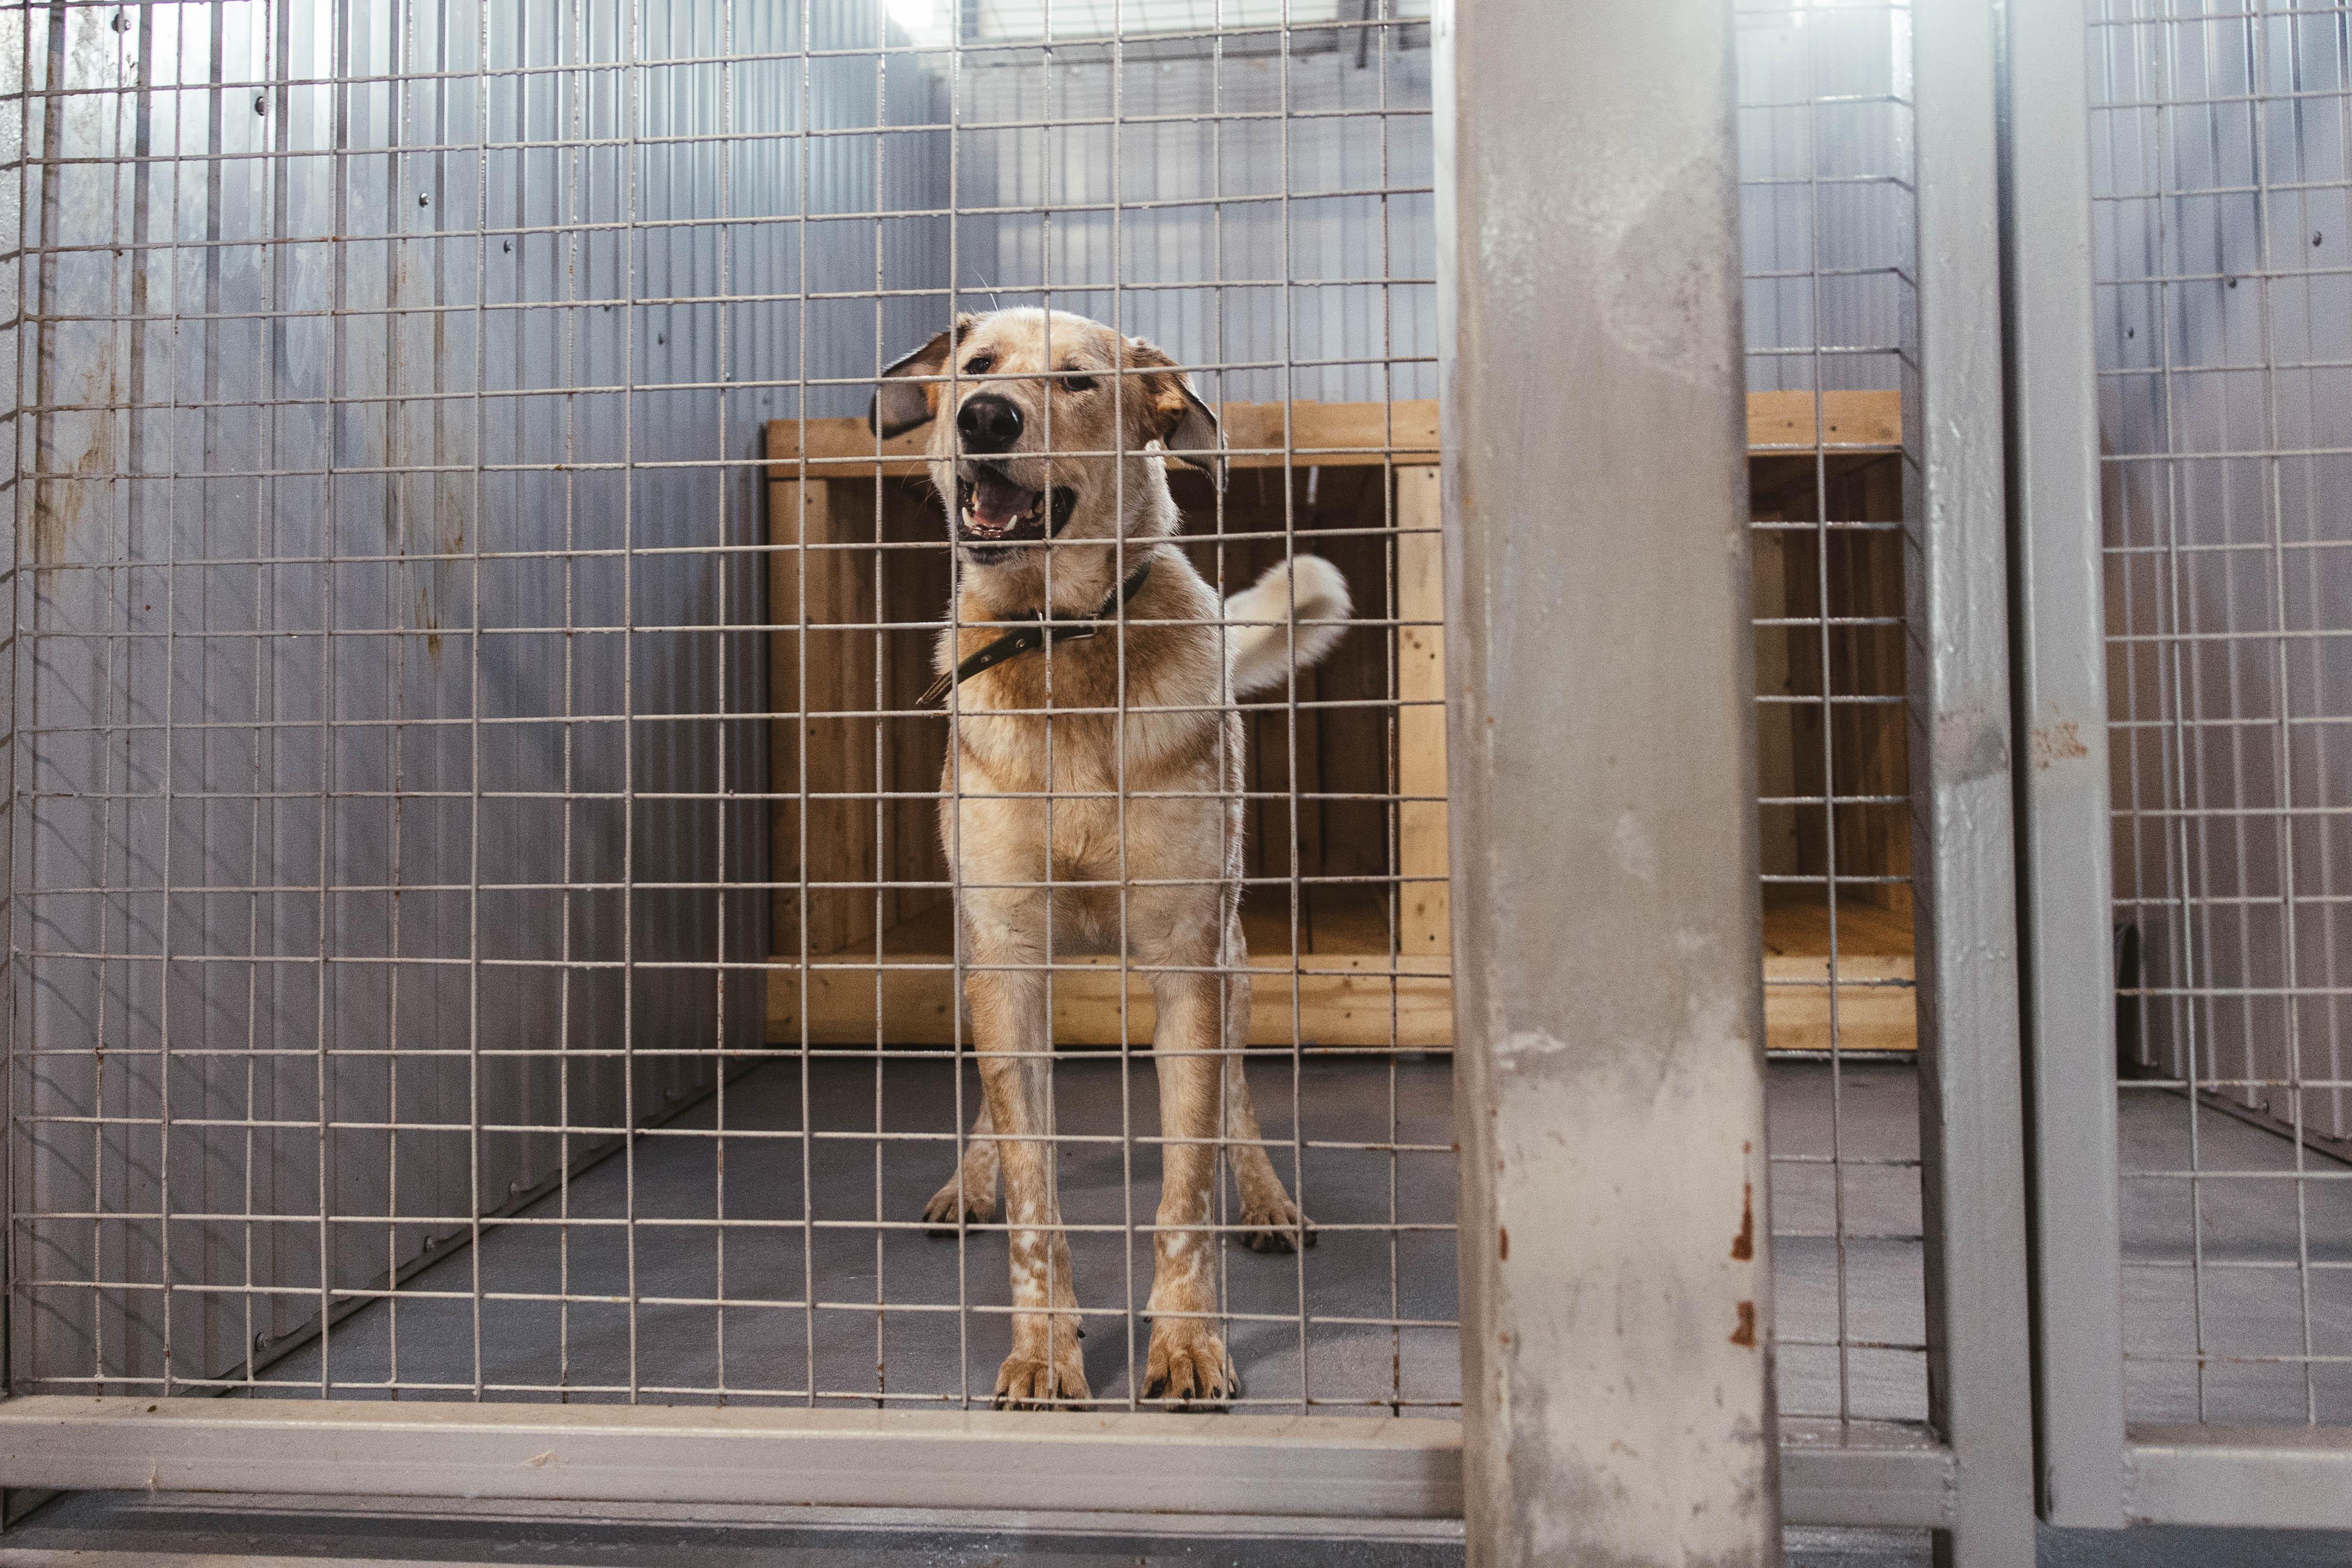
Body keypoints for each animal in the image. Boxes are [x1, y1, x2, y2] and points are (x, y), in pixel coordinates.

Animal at [869, 308, 1350, 1407]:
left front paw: (1188, 1343)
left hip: (1234, 961)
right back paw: (968, 1181)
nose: (984, 418)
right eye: (978, 366)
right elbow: (1035, 1189)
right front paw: (1044, 1351)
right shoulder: (1006, 960)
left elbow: (1186, 1184)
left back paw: (1267, 1199)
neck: (1062, 645)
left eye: (1079, 382)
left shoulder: (1188, 963)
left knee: (1240, 1102)